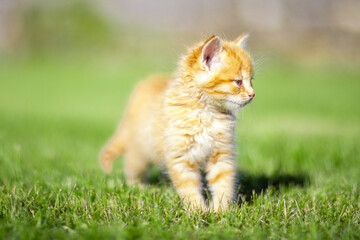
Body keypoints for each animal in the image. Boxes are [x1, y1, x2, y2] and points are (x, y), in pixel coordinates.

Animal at [100, 34, 255, 212]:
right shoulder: (180, 157)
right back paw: (139, 187)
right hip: (140, 151)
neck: (206, 113)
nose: (253, 94)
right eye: (238, 82)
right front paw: (197, 211)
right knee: (132, 166)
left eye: (251, 81)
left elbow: (223, 184)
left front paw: (220, 211)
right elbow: (189, 188)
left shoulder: (221, 154)